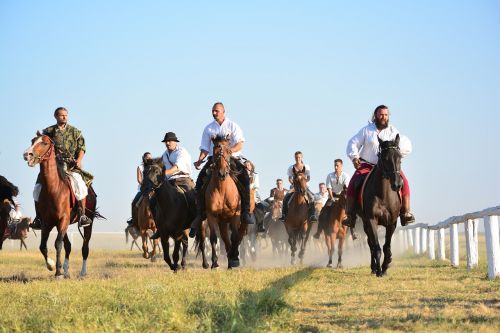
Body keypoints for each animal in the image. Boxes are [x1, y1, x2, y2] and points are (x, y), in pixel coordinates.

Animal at [23, 135, 100, 278]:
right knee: (68, 246)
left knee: (85, 247)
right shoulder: (47, 223)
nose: (27, 155)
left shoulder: (63, 220)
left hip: (87, 223)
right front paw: (52, 265)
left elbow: (58, 244)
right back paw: (66, 270)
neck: (53, 189)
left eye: (44, 143)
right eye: (32, 141)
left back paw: (82, 272)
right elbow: (43, 246)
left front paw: (58, 272)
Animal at [206, 134, 247, 268]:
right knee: (225, 238)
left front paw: (235, 259)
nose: (222, 173)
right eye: (215, 151)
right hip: (222, 222)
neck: (222, 189)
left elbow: (234, 236)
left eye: (229, 151)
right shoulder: (211, 216)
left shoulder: (235, 216)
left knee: (238, 236)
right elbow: (214, 238)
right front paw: (214, 262)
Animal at [358, 134, 404, 276]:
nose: (397, 184)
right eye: (385, 158)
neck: (383, 195)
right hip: (365, 223)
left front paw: (385, 266)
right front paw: (378, 270)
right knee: (371, 244)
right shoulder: (371, 220)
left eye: (400, 157)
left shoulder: (392, 222)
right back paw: (373, 268)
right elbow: (376, 247)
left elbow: (386, 247)